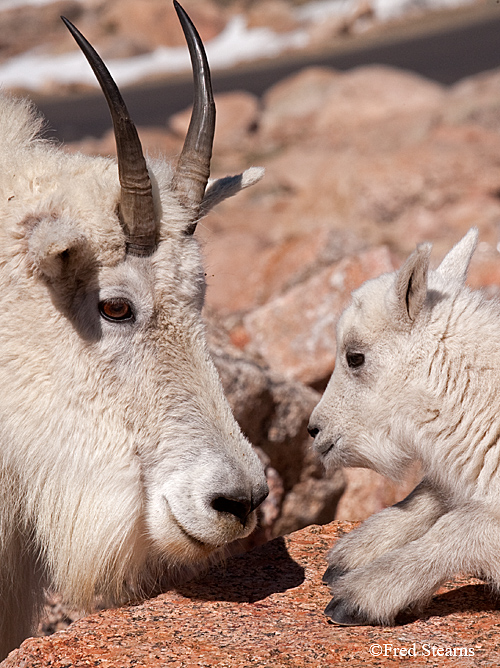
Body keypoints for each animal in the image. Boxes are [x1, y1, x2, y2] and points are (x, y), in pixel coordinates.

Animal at [308, 228, 500, 628]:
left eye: (355, 357)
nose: (314, 430)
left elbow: (457, 527)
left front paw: (360, 595)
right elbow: (431, 494)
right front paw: (353, 553)